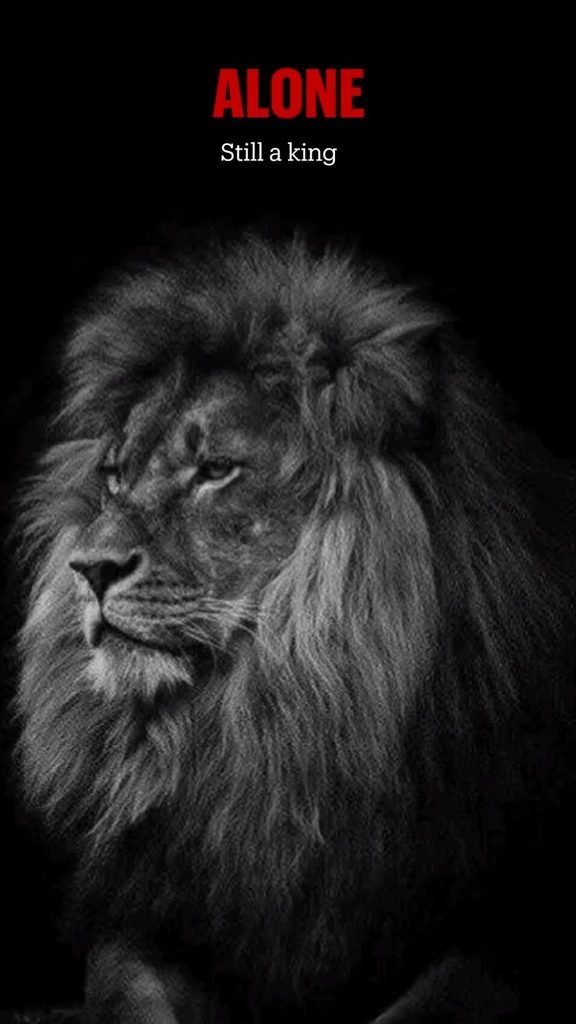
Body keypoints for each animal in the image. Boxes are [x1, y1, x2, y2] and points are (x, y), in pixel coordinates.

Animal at [15, 235, 576, 1022]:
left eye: (216, 468)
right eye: (116, 475)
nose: (88, 568)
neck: (279, 731)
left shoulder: (498, 934)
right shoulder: (150, 919)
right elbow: (131, 996)